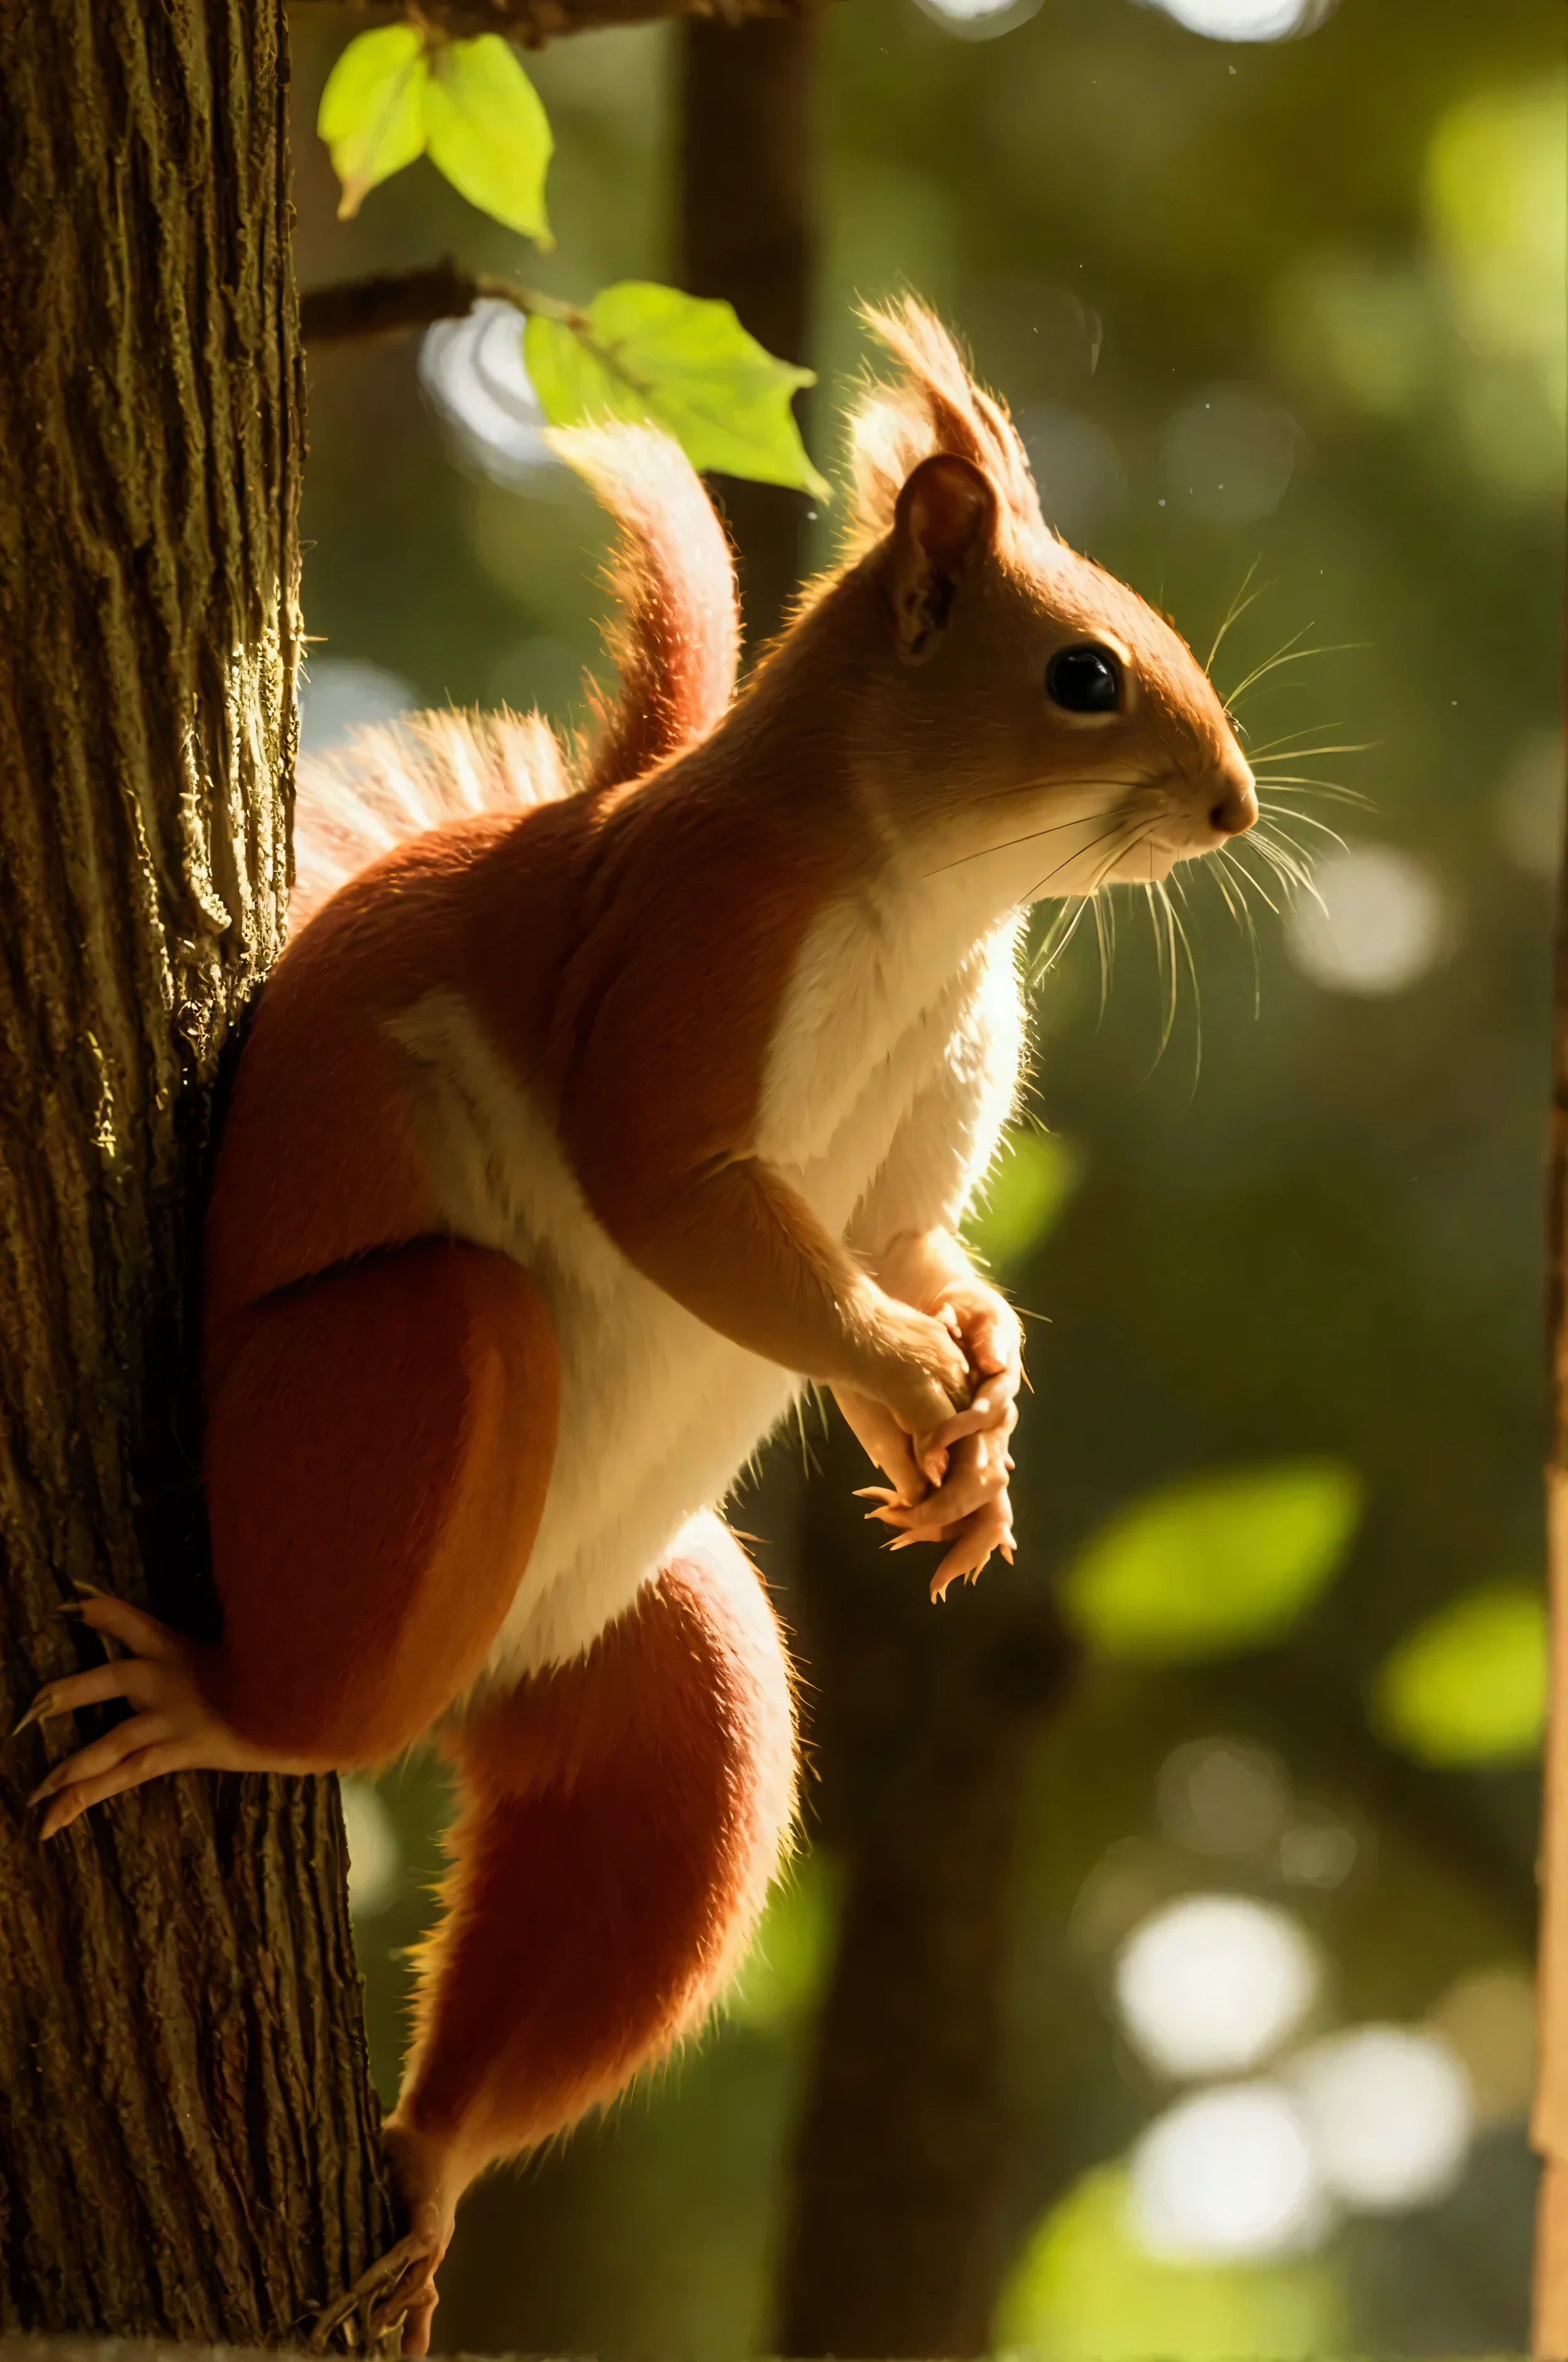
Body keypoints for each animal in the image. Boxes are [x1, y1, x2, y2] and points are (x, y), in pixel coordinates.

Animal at [12, 300, 1256, 2343]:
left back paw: (427, 2169)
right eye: (1084, 673)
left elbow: (909, 1243)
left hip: (667, 1693)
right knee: (324, 1688)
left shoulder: (916, 1138)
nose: (1230, 806)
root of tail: (446, 1700)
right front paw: (906, 1379)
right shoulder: (689, 961)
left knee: (603, 1881)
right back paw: (220, 1709)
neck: (931, 906)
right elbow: (690, 1213)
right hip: (415, 1370)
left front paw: (977, 1412)